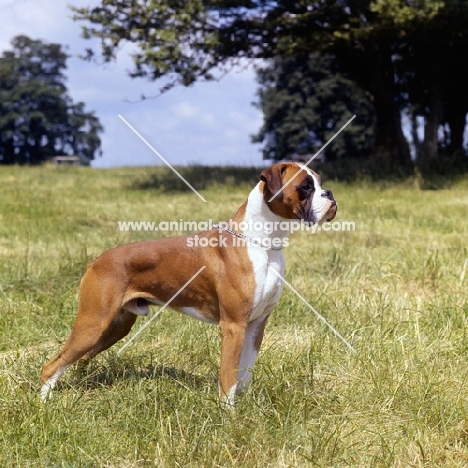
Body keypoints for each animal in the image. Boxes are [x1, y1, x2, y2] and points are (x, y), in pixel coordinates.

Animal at [40, 163, 336, 404]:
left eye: (320, 182)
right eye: (305, 186)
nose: (330, 194)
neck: (263, 242)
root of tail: (98, 260)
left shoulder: (255, 326)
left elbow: (244, 374)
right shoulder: (233, 326)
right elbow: (228, 376)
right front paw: (227, 415)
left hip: (114, 327)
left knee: (77, 359)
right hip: (93, 324)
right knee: (51, 366)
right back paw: (44, 405)